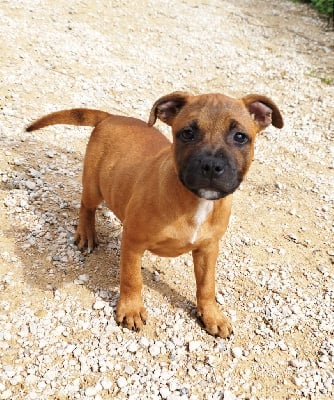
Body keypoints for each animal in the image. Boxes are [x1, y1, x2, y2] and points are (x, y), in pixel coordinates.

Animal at [26, 91, 284, 338]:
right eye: (187, 133)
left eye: (240, 137)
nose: (211, 166)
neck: (194, 200)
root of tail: (111, 117)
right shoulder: (132, 242)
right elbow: (132, 279)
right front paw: (131, 309)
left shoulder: (208, 249)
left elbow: (206, 285)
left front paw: (212, 315)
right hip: (93, 186)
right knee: (86, 205)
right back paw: (86, 233)